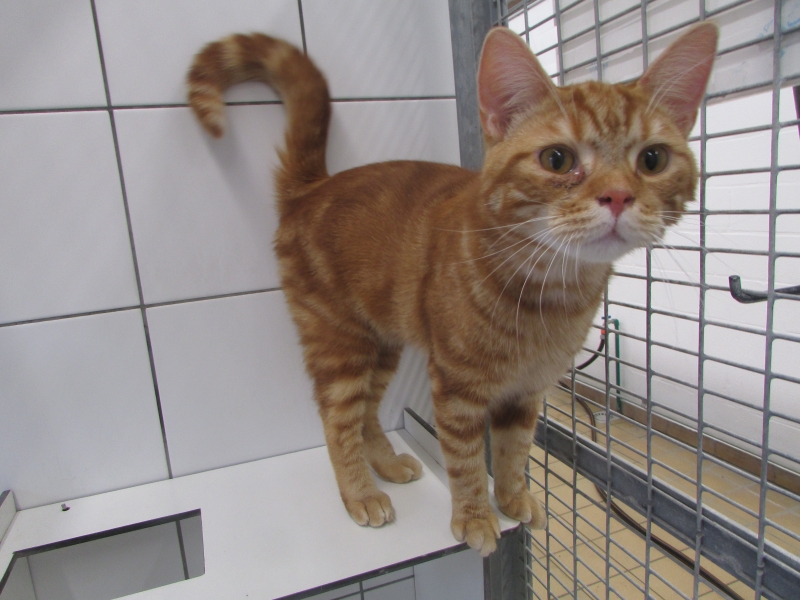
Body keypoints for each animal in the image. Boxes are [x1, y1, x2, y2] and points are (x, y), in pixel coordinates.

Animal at [187, 23, 718, 556]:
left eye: (652, 159)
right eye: (557, 159)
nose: (618, 196)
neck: (551, 295)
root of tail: (313, 186)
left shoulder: (527, 393)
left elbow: (514, 452)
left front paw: (513, 499)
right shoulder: (456, 387)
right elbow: (465, 461)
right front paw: (476, 517)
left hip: (383, 345)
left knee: (368, 413)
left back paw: (386, 463)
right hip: (341, 346)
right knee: (337, 421)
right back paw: (359, 493)